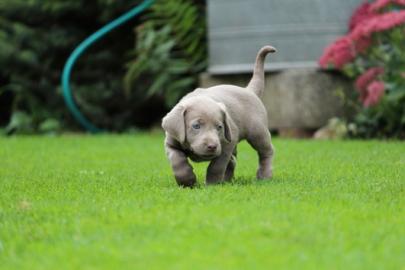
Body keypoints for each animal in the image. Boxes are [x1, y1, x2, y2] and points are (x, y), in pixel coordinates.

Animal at [161, 44, 274, 188]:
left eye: (219, 127)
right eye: (196, 126)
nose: (212, 146)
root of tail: (248, 90)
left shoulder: (225, 145)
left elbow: (216, 166)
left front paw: (212, 185)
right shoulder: (171, 143)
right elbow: (177, 161)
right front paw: (187, 181)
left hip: (257, 132)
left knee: (266, 152)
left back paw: (264, 176)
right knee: (233, 161)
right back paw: (227, 180)